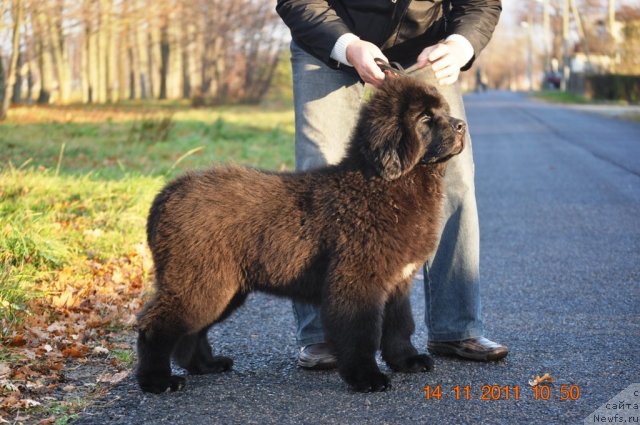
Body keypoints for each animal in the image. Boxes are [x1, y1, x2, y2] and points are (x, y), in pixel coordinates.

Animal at [135, 77, 464, 394]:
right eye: (425, 118)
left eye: (443, 111)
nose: (461, 125)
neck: (383, 184)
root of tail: (166, 193)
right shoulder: (358, 279)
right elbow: (361, 332)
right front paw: (366, 378)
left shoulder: (398, 281)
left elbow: (399, 325)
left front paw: (407, 361)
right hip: (199, 280)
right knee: (154, 324)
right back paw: (157, 381)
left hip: (224, 285)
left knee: (193, 330)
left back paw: (206, 365)